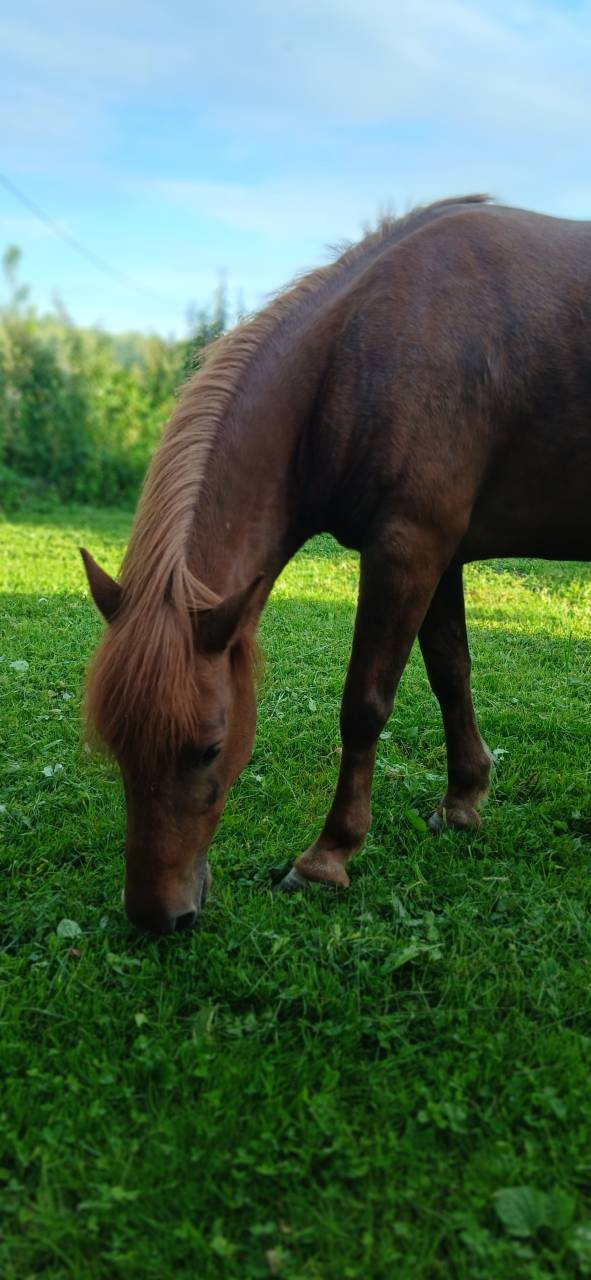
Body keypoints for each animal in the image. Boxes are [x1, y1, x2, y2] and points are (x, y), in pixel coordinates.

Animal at [82, 194, 591, 933]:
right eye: (116, 744)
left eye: (209, 749)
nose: (158, 916)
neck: (370, 345)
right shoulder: (439, 553)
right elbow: (451, 673)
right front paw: (463, 800)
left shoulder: (406, 548)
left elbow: (365, 704)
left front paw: (328, 857)